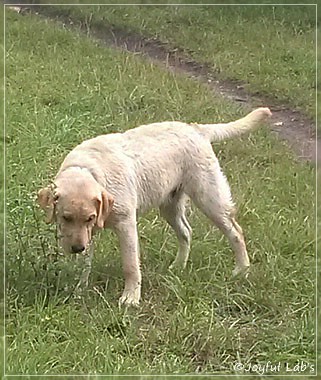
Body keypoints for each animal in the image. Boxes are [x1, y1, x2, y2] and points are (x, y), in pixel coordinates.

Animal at [38, 107, 272, 306]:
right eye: (65, 217)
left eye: (89, 217)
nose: (77, 248)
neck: (90, 169)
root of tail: (196, 129)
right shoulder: (86, 235)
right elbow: (82, 265)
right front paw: (77, 290)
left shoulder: (125, 225)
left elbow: (130, 266)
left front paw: (130, 298)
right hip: (170, 205)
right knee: (186, 232)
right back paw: (178, 267)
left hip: (209, 197)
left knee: (235, 232)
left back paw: (241, 271)